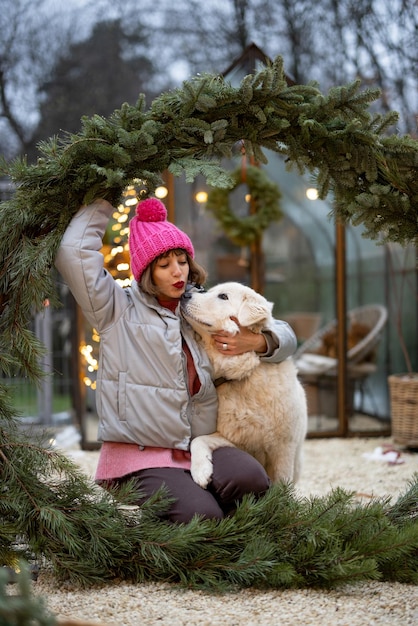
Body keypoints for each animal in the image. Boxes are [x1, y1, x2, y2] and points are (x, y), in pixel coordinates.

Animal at [181, 282, 308, 488]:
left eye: (223, 296)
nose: (184, 295)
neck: (245, 372)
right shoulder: (235, 439)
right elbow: (198, 440)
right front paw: (201, 471)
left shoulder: (283, 449)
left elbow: (282, 486)